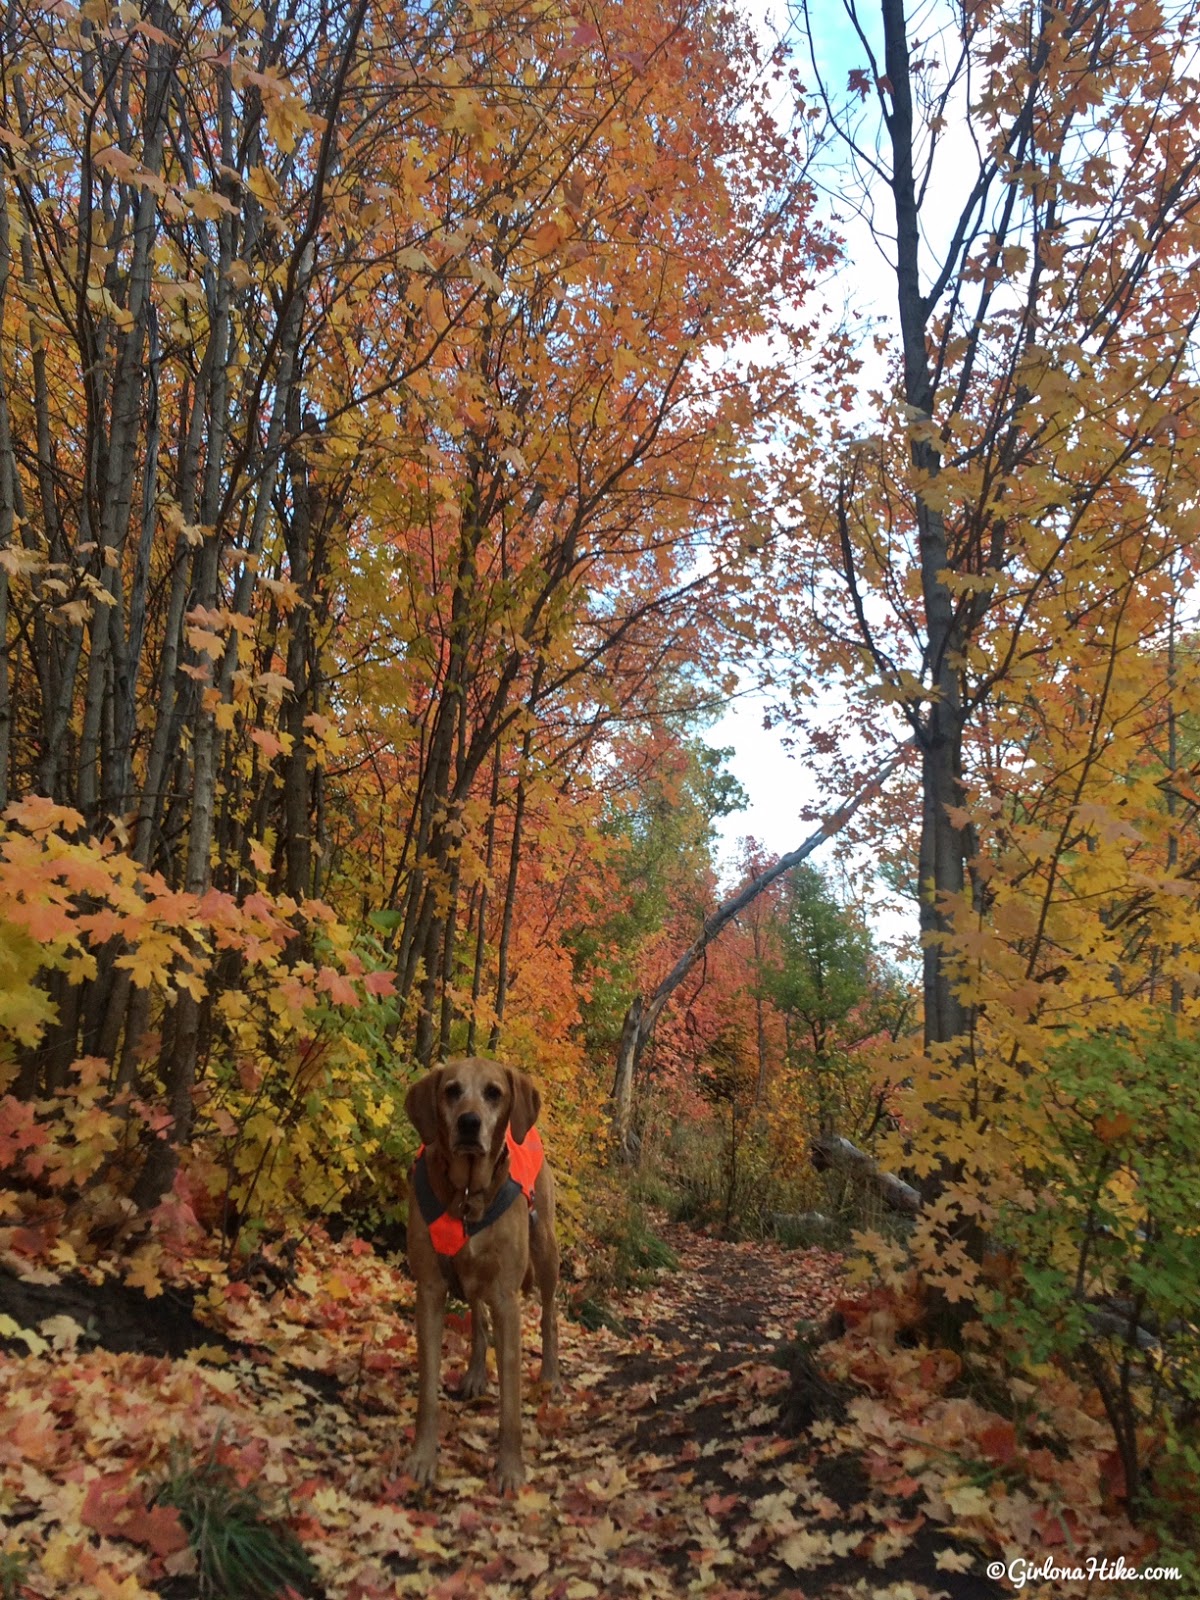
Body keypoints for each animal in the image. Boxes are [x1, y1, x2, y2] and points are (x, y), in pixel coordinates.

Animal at [400, 1056, 560, 1491]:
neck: (469, 1195)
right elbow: (427, 1391)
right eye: (451, 1090)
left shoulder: (507, 1297)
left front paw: (510, 1469)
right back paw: (473, 1372)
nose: (469, 1123)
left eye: (494, 1092)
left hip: (546, 1250)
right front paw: (422, 1458)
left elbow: (511, 1402)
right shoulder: (430, 1289)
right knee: (477, 1314)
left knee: (549, 1315)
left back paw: (551, 1375)